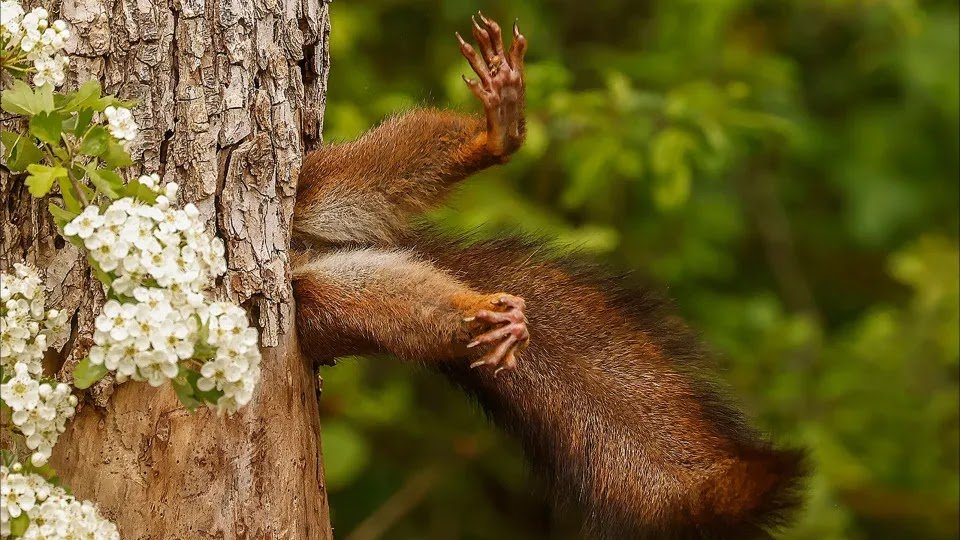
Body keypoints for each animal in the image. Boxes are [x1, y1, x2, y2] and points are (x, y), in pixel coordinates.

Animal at [290, 13, 807, 540]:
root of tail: (307, 251)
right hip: (319, 302)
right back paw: (484, 316)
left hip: (316, 184)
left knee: (375, 171)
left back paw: (496, 136)